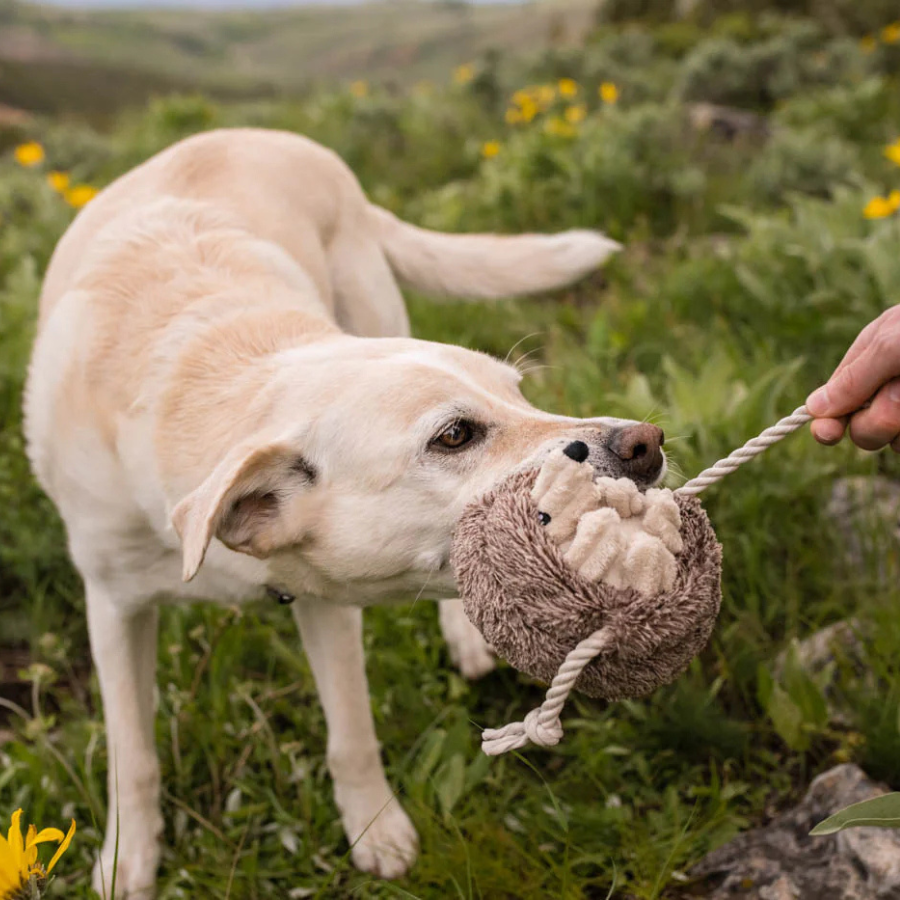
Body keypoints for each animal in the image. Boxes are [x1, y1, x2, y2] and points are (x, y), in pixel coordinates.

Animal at [24, 130, 664, 896]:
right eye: (455, 435)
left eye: (520, 395)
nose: (646, 444)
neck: (202, 368)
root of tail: (267, 135)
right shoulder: (113, 606)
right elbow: (133, 757)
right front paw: (128, 859)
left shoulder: (325, 602)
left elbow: (351, 734)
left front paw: (374, 828)